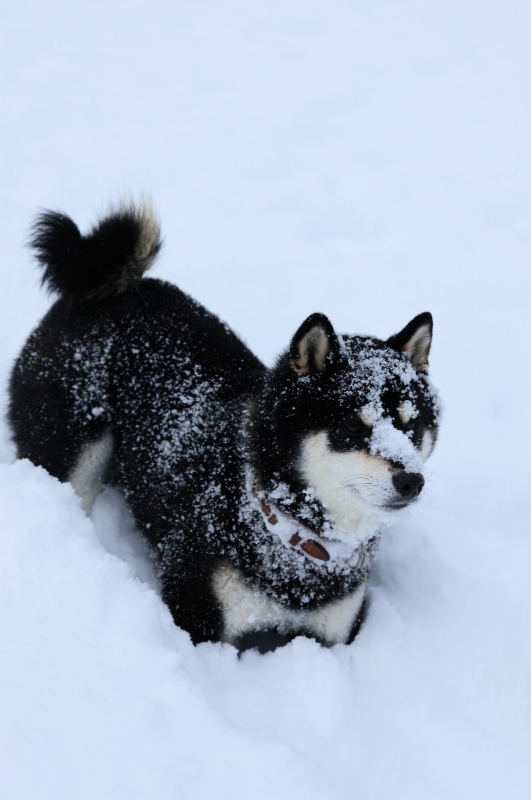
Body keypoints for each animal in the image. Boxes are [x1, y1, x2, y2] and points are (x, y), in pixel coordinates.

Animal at [9, 200, 440, 648]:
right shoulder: (197, 619)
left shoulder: (332, 635)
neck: (283, 528)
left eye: (411, 426)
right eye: (354, 427)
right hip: (71, 456)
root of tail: (111, 287)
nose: (411, 480)